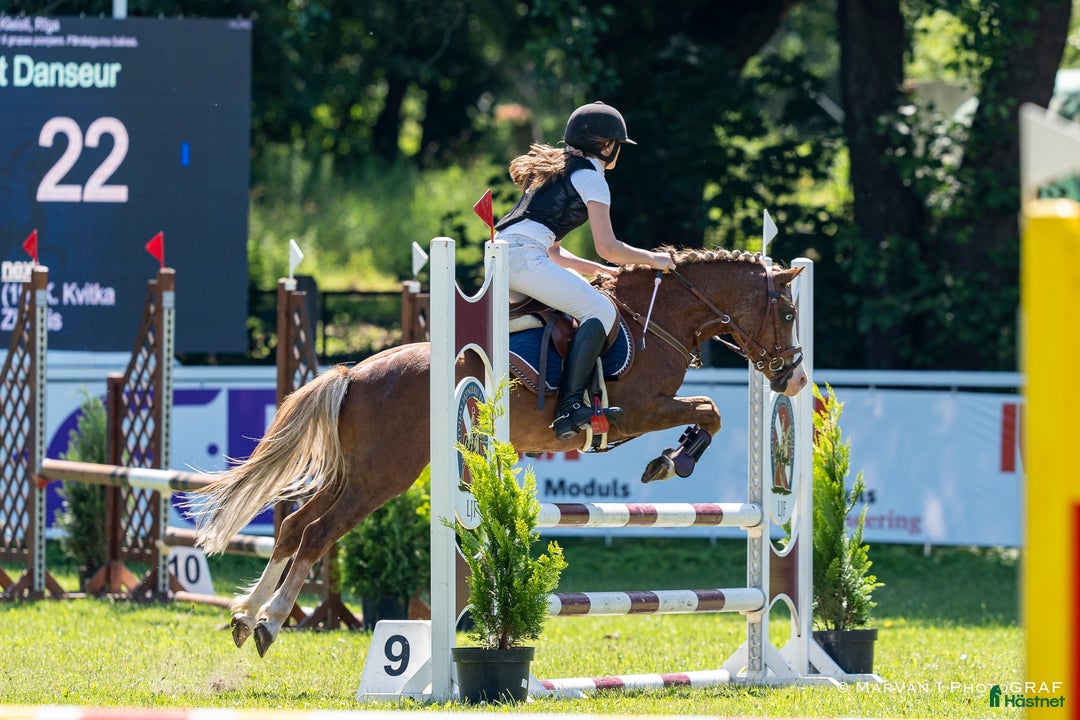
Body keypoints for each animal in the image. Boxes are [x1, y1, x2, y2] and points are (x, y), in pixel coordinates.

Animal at [191, 246, 808, 657]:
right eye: (787, 313)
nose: (796, 379)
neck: (660, 321)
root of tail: (354, 373)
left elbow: (708, 409)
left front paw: (670, 459)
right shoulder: (640, 410)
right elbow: (710, 409)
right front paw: (674, 460)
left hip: (361, 473)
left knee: (296, 527)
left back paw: (246, 616)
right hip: (382, 477)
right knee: (318, 533)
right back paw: (270, 623)